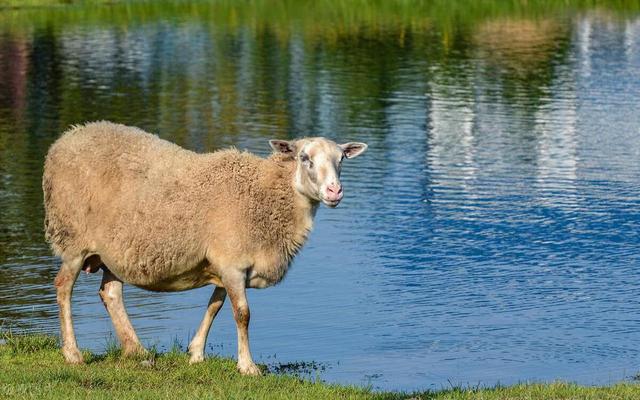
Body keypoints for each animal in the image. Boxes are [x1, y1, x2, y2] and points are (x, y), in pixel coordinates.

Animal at [42, 121, 368, 376]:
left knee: (110, 293)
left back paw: (136, 350)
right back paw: (73, 354)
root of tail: (66, 138)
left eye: (341, 159)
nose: (334, 191)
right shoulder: (232, 263)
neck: (265, 196)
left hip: (115, 251)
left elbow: (215, 305)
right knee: (63, 287)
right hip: (73, 239)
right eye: (304, 157)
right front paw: (247, 366)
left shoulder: (226, 261)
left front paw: (196, 352)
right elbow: (242, 313)